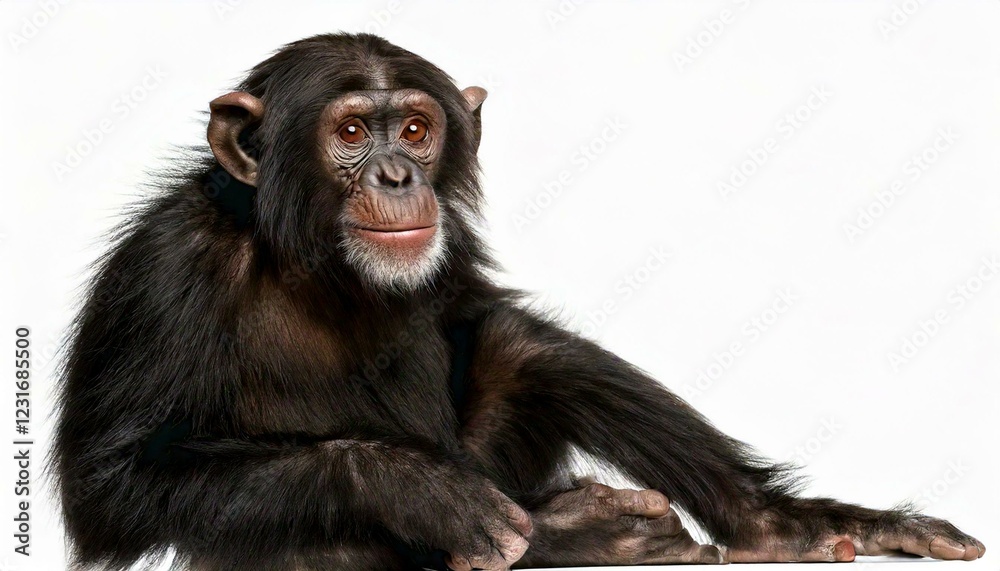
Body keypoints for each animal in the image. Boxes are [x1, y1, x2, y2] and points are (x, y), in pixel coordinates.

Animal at [53, 33, 985, 571]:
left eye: (417, 130)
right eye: (351, 132)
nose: (399, 175)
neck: (317, 257)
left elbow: (476, 320)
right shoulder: (163, 272)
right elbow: (115, 478)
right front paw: (415, 487)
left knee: (526, 347)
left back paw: (760, 527)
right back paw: (578, 532)